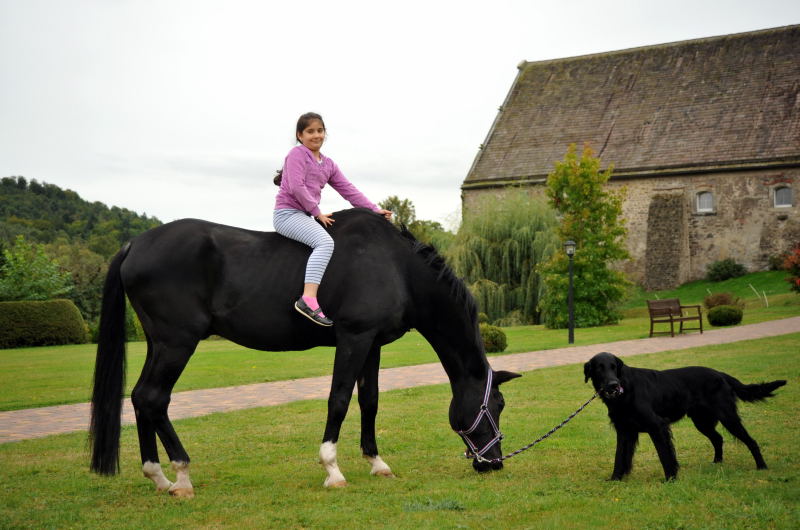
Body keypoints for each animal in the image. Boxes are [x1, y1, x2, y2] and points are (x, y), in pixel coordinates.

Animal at [90, 207, 520, 496]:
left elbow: (370, 401)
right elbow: (339, 400)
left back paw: (159, 477)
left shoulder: (372, 344)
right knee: (153, 397)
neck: (396, 266)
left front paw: (376, 462)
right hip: (177, 343)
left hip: (159, 344)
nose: (495, 463)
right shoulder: (353, 338)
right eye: (496, 405)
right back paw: (181, 475)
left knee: (141, 398)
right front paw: (333, 469)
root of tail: (135, 244)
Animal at [584, 350, 784, 478]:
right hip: (702, 421)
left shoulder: (657, 426)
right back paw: (717, 462)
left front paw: (671, 478)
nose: (613, 385)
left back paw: (762, 467)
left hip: (728, 417)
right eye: (600, 368)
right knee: (718, 438)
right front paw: (616, 479)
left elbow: (665, 454)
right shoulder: (625, 430)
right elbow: (620, 457)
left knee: (751, 441)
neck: (625, 390)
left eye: (614, 367)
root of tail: (720, 374)